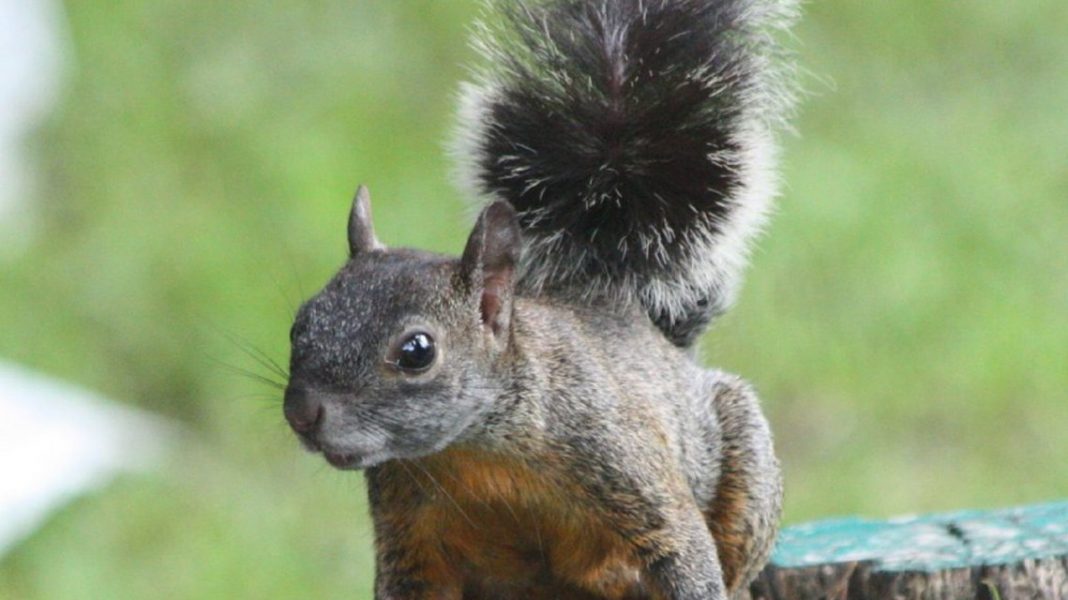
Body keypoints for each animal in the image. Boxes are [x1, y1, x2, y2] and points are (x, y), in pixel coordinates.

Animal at [281, 1, 794, 597]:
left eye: (417, 352)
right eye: (299, 324)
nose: (302, 413)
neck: (475, 452)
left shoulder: (630, 466)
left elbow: (685, 551)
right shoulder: (407, 530)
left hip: (745, 465)